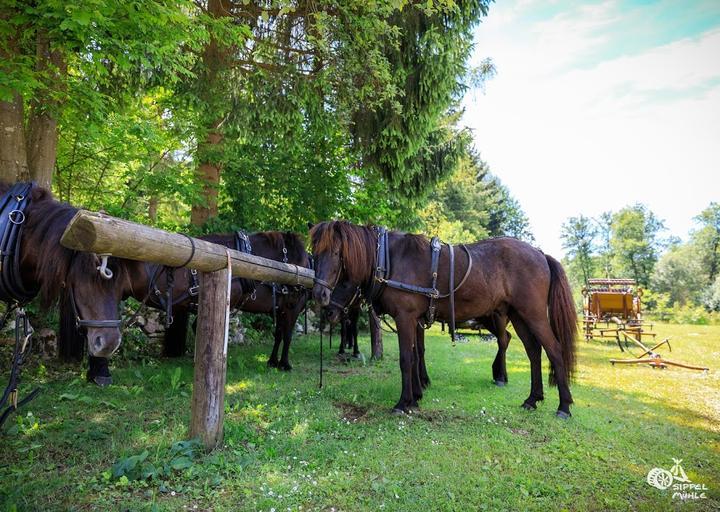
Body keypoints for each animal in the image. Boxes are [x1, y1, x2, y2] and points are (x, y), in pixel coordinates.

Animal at [310, 222, 580, 418]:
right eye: (314, 254)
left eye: (336, 253)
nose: (320, 298)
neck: (388, 258)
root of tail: (541, 254)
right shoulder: (415, 320)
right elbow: (416, 354)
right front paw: (416, 397)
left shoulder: (405, 318)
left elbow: (406, 359)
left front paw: (403, 403)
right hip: (519, 315)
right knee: (534, 351)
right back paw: (532, 399)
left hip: (533, 314)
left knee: (553, 350)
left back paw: (564, 406)